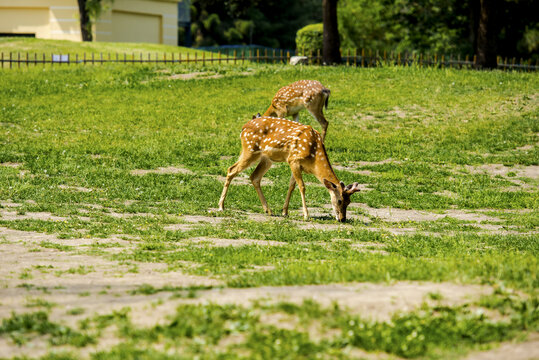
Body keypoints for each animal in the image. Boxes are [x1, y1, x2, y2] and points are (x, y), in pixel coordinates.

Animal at [217, 116, 360, 221]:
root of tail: (243, 128)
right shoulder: (293, 159)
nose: (342, 219)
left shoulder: (297, 165)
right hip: (250, 150)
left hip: (266, 159)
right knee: (231, 169)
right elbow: (302, 186)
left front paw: (285, 212)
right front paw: (306, 215)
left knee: (254, 177)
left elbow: (292, 186)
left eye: (349, 202)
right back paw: (221, 206)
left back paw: (268, 210)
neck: (314, 155)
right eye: (340, 200)